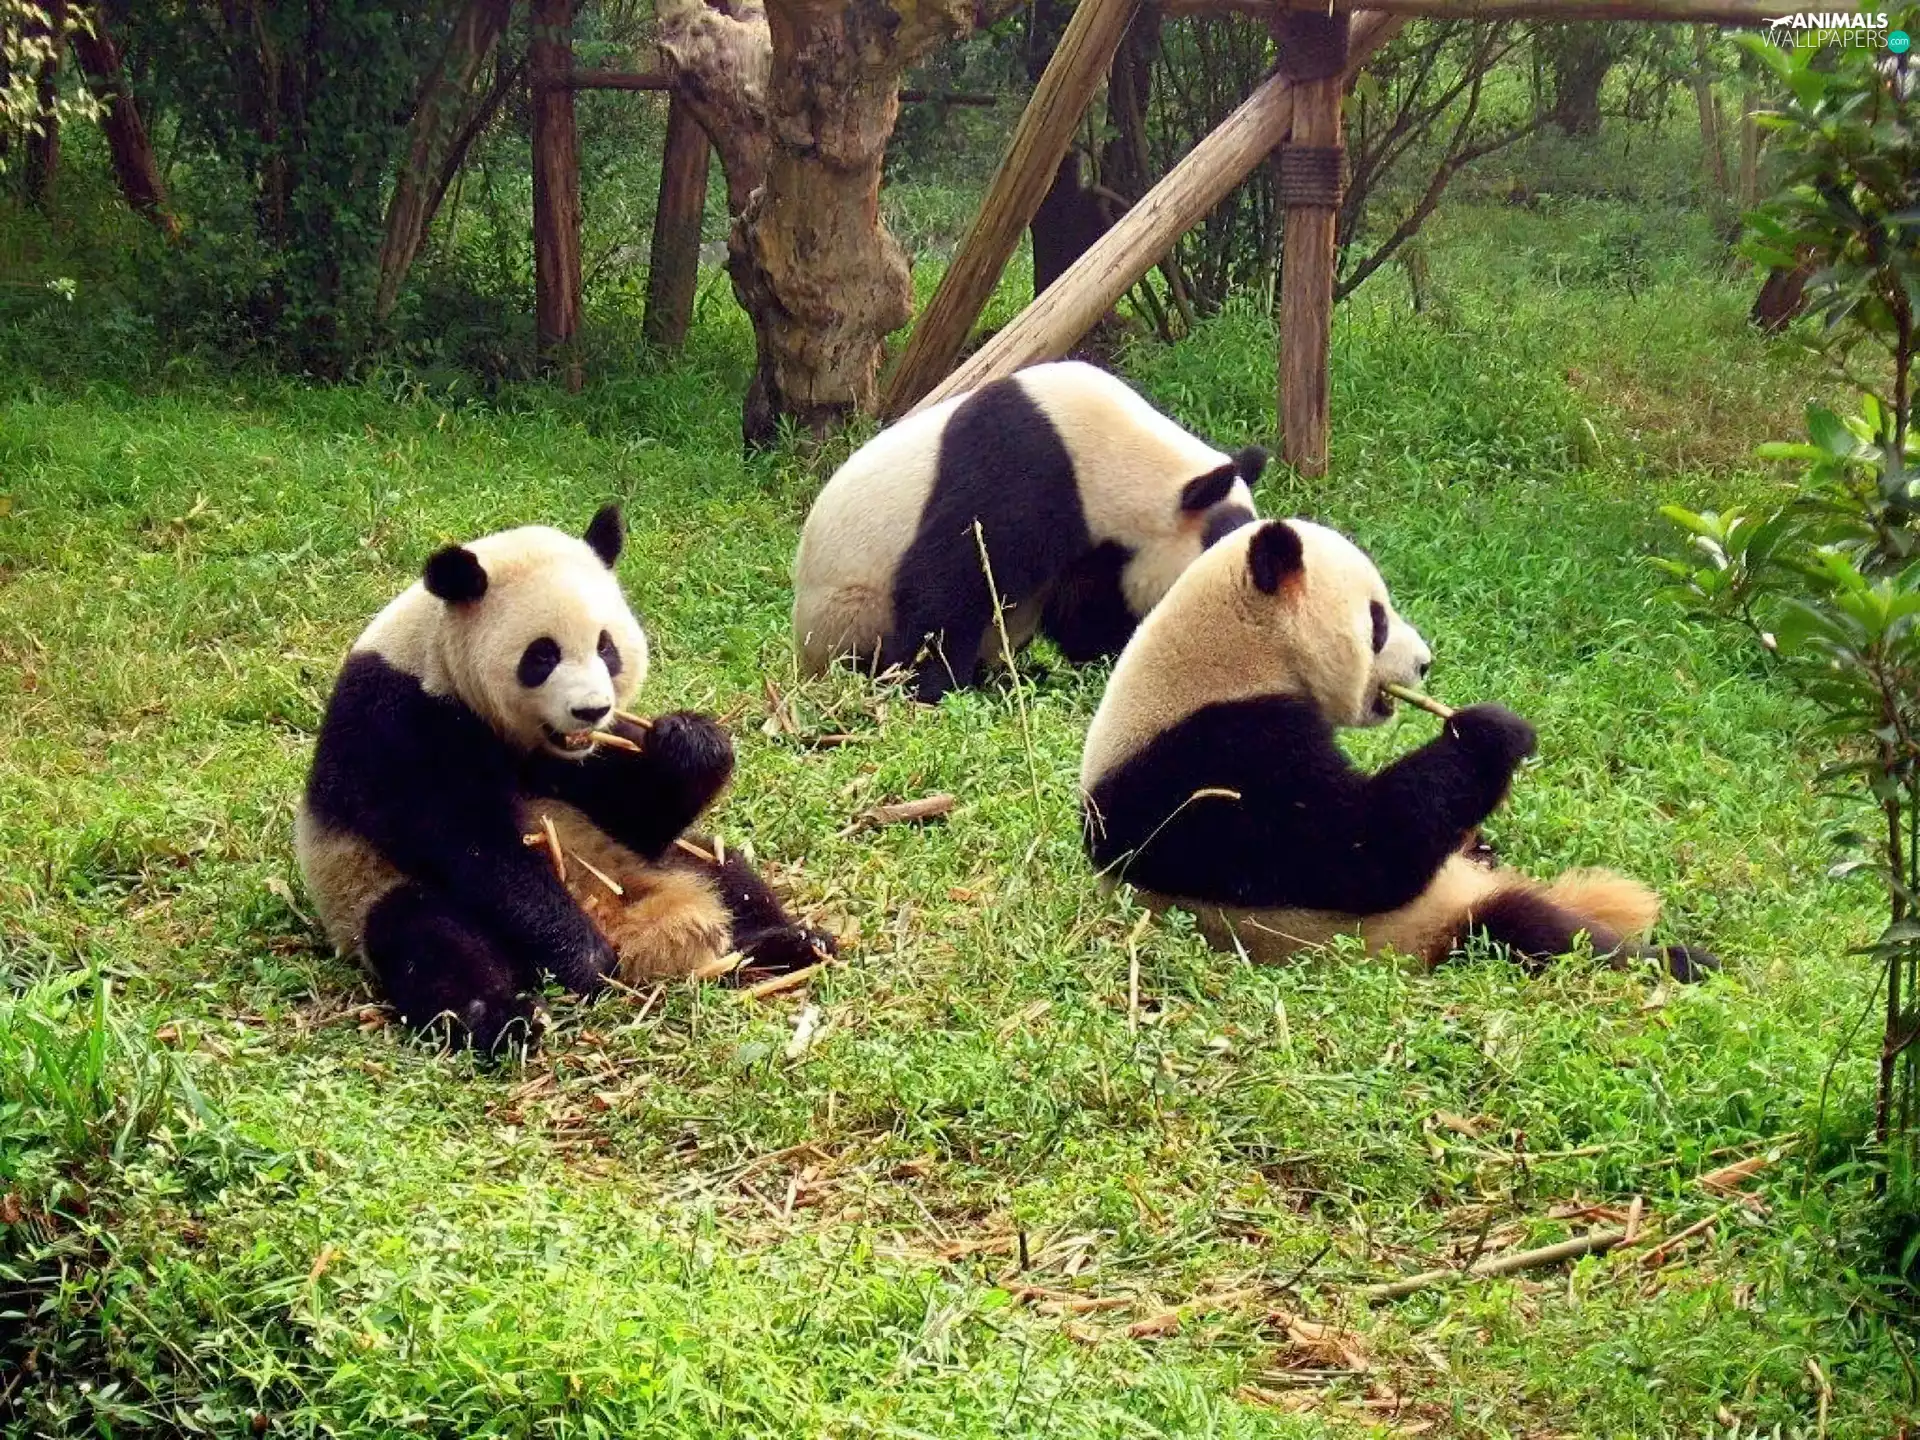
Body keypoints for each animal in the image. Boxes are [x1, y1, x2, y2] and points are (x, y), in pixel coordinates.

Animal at [295, 505, 832, 1051]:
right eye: (542, 655)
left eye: (606, 648)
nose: (590, 709)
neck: (437, 657)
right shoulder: (397, 722)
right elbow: (472, 846)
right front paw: (582, 956)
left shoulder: (584, 756)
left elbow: (637, 814)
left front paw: (690, 743)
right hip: (368, 888)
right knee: (431, 938)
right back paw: (506, 1018)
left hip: (653, 861)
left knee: (724, 868)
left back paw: (793, 942)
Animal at [791, 360, 1265, 703]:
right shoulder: (1020, 471)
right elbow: (949, 583)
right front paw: (932, 687)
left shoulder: (1094, 545)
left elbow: (1087, 605)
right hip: (847, 610)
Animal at [1079, 517, 1717, 981]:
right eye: (1378, 620)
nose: (1426, 663)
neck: (1230, 653)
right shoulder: (1213, 756)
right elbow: (1359, 851)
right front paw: (1490, 733)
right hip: (1430, 926)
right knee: (1534, 931)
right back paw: (1677, 961)